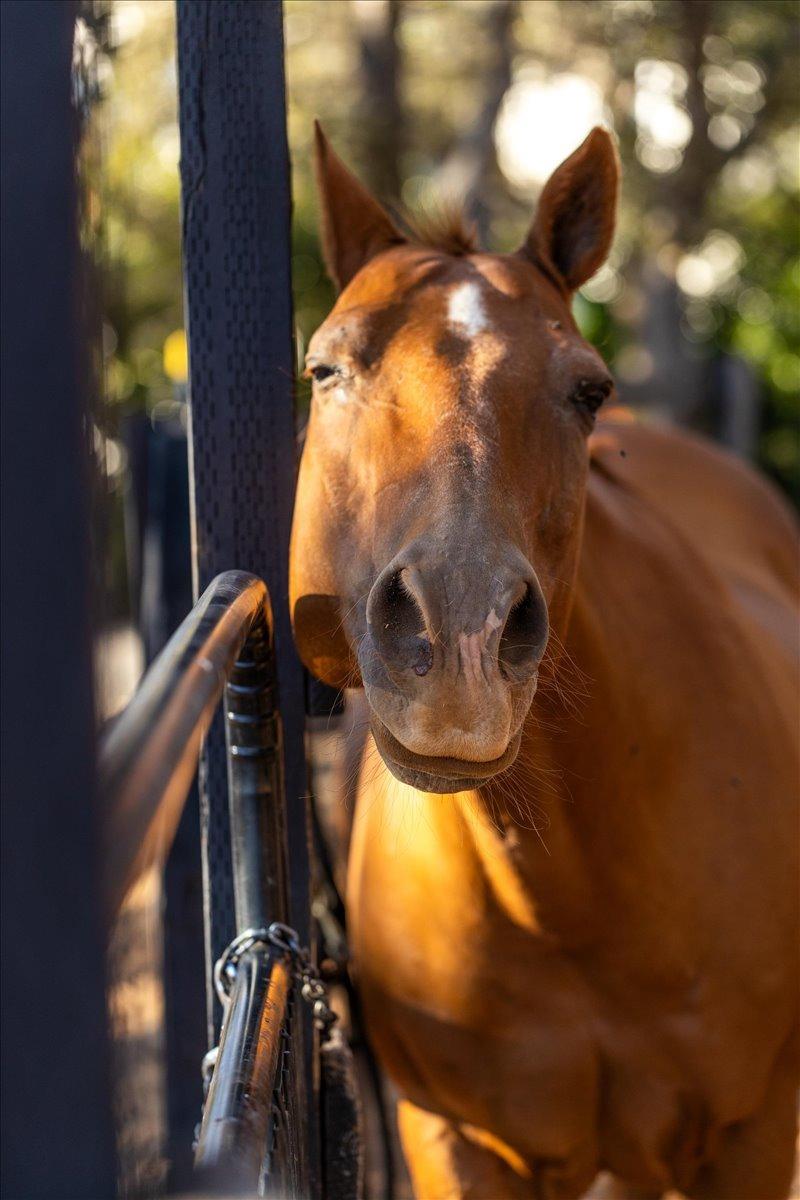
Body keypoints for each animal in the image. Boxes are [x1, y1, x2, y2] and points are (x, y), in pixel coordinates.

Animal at [289, 124, 800, 1200]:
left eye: (588, 389)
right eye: (324, 370)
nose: (459, 636)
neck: (569, 904)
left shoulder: (750, 1132)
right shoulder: (454, 1140)